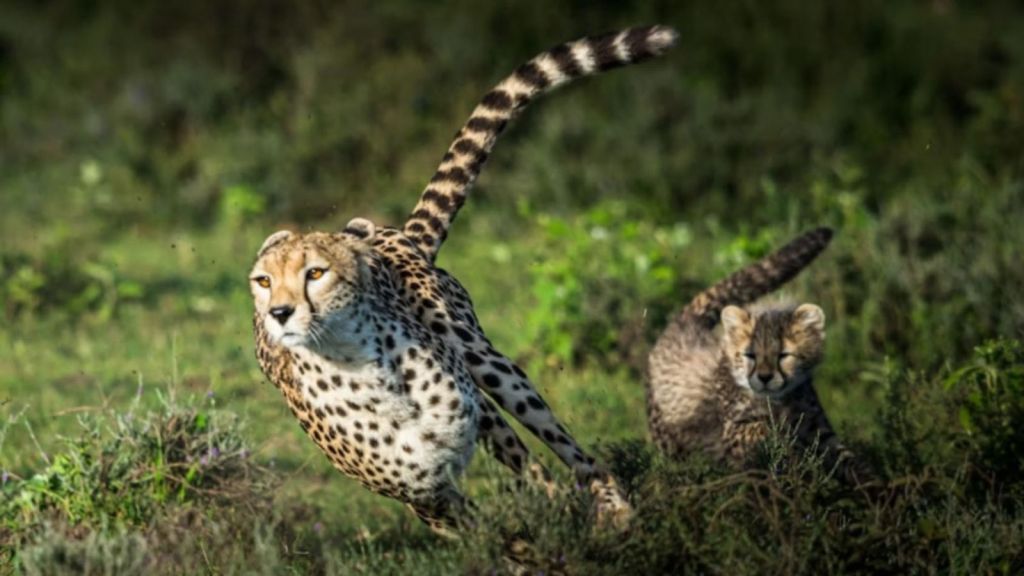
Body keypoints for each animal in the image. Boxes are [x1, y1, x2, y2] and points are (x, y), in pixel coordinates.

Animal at [250, 25, 679, 536]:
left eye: (315, 273)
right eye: (262, 281)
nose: (279, 313)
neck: (360, 367)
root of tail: (394, 233)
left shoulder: (471, 421)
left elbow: (535, 483)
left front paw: (563, 525)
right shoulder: (423, 495)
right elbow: (487, 531)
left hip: (486, 362)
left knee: (562, 448)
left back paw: (613, 507)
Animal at [647, 227, 871, 484]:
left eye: (783, 354)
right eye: (749, 355)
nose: (764, 378)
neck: (779, 401)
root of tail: (685, 322)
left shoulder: (818, 430)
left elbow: (848, 459)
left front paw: (874, 485)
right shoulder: (732, 433)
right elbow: (762, 428)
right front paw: (788, 449)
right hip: (668, 443)